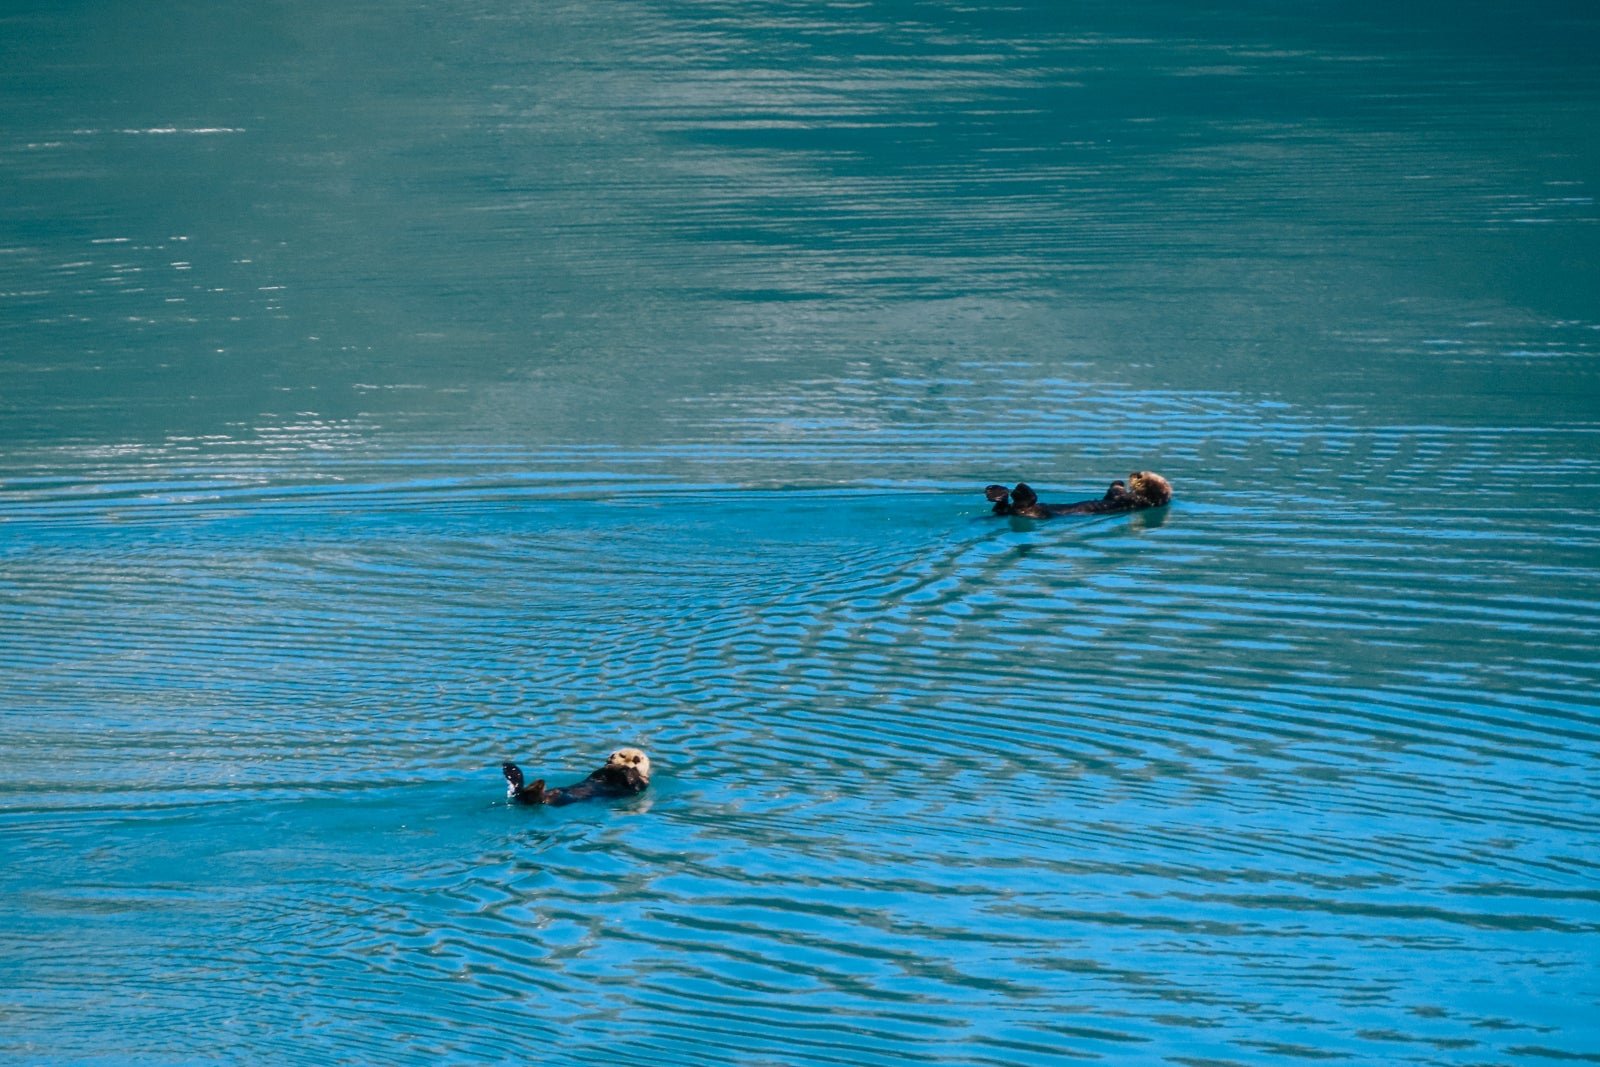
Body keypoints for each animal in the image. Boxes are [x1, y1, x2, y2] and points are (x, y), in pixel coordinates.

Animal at [502, 747, 651, 806]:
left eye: (622, 755)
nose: (611, 757)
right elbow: (598, 773)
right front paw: (609, 766)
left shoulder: (640, 783)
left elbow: (633, 782)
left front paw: (626, 769)